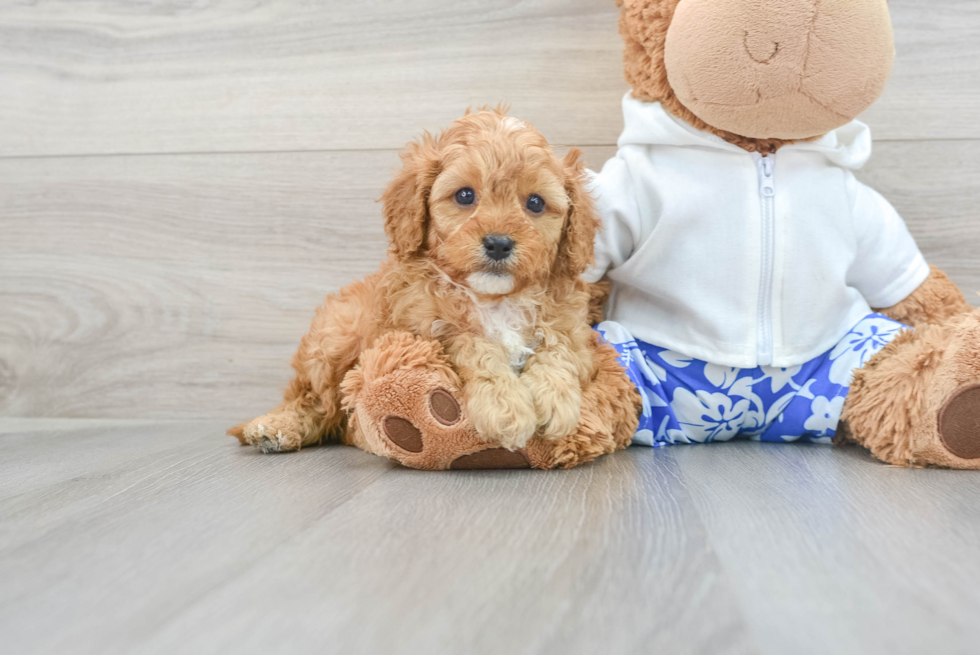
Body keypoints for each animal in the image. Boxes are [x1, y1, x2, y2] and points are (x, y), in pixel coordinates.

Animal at [234, 109, 600, 456]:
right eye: (465, 195)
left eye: (535, 203)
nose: (498, 243)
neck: (494, 299)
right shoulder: (426, 332)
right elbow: (473, 344)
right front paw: (505, 407)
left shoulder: (576, 333)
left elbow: (559, 349)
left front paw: (555, 400)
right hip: (335, 337)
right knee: (317, 401)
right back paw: (276, 428)